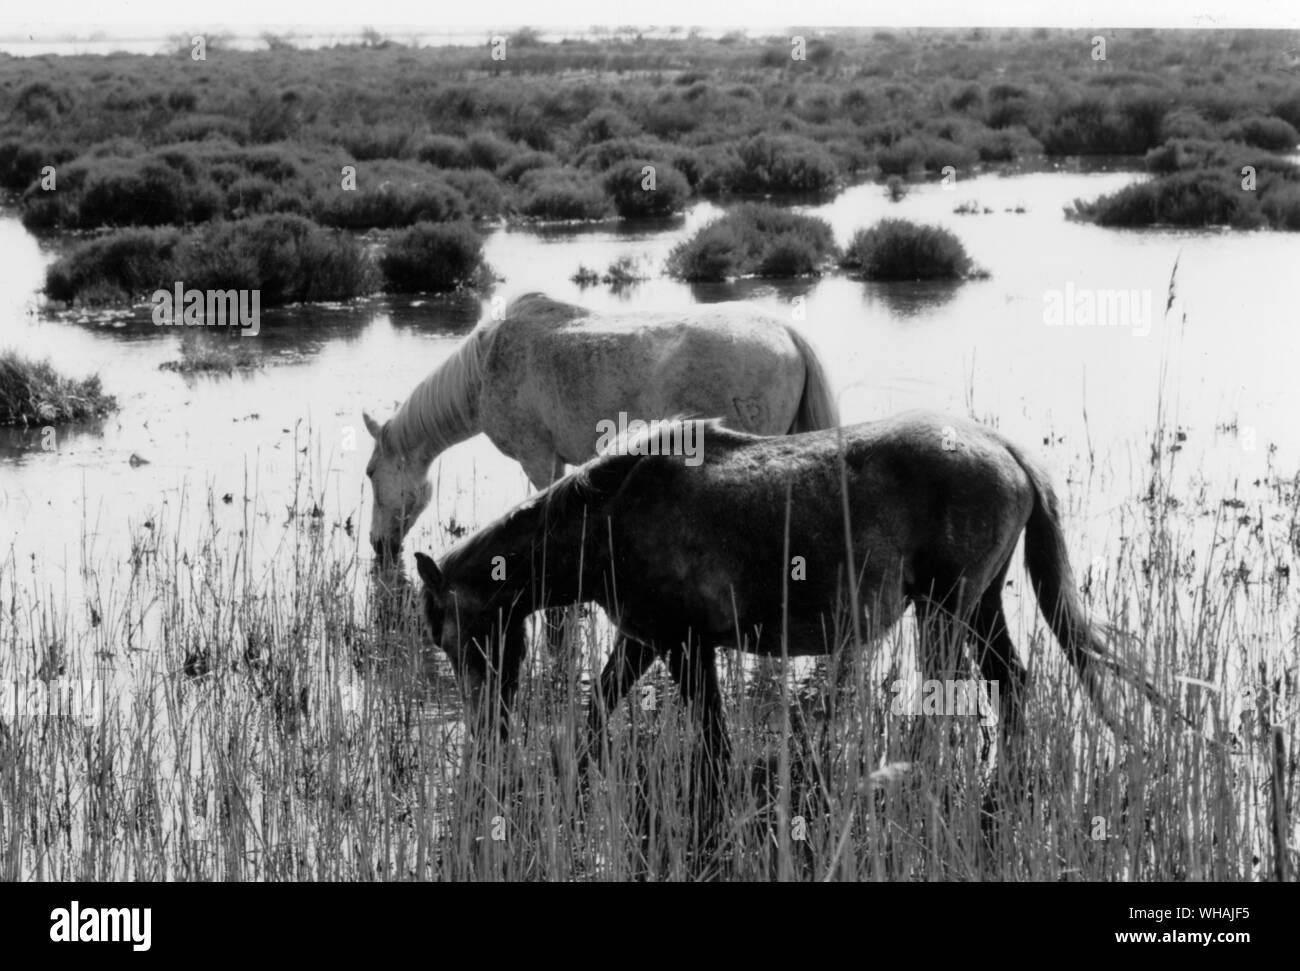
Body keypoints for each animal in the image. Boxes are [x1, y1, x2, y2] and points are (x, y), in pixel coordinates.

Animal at [418, 413, 1138, 779]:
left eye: (456, 634)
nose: (486, 730)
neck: (608, 515)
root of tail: (1005, 449)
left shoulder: (679, 643)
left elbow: (710, 737)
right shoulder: (646, 639)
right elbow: (600, 712)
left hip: (945, 607)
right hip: (980, 602)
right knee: (1010, 680)